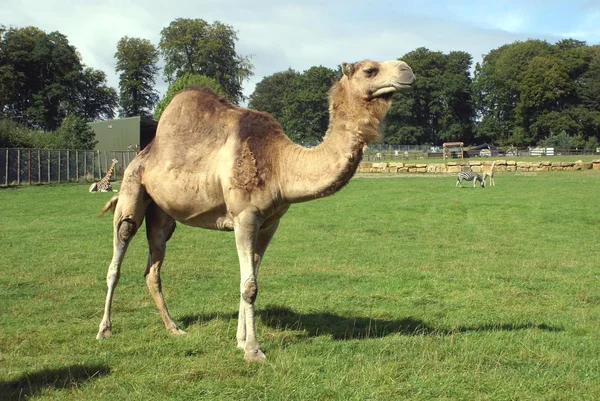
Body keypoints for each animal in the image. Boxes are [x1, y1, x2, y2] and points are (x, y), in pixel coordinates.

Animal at [97, 57, 418, 360]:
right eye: (369, 70)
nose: (408, 71)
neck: (280, 163)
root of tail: (143, 152)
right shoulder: (245, 217)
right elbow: (249, 286)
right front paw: (253, 351)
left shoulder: (270, 223)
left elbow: (251, 277)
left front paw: (240, 341)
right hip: (132, 188)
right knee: (118, 252)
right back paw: (105, 329)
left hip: (162, 214)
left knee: (153, 267)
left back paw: (173, 328)